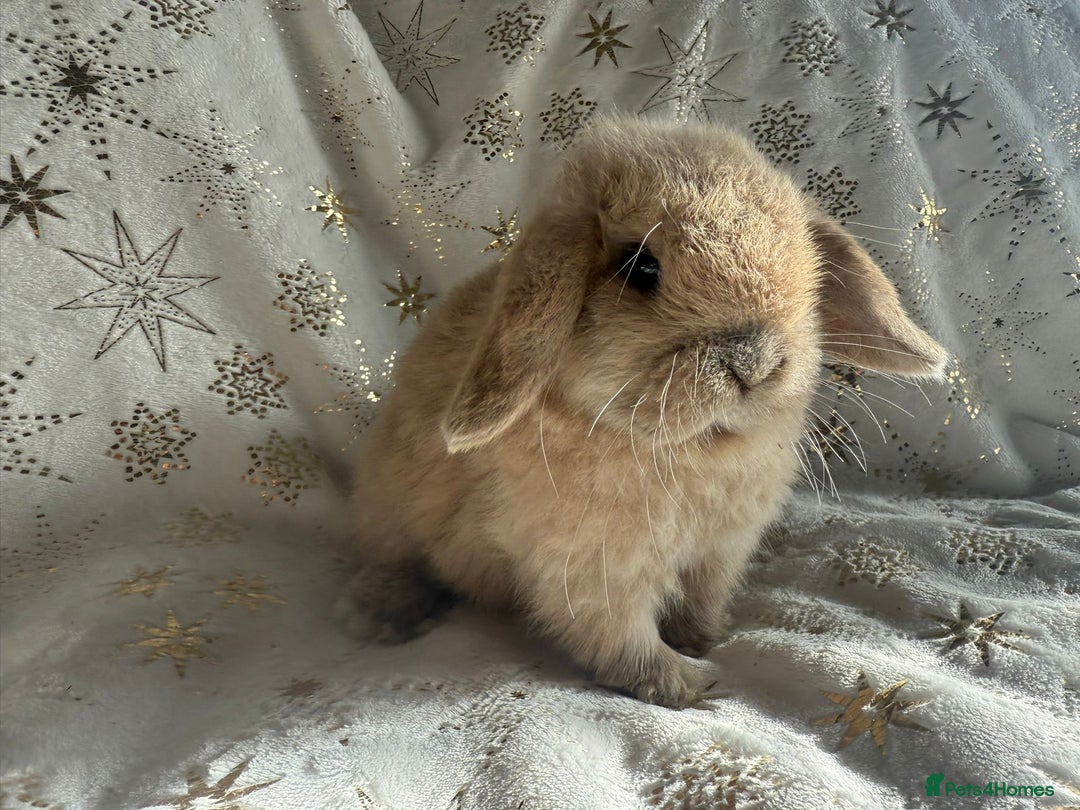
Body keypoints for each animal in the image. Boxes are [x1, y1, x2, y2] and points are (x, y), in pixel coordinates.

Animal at [346, 117, 946, 708]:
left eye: (811, 272)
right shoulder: (593, 570)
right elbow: (619, 636)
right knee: (388, 562)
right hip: (388, 513)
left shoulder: (718, 553)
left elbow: (699, 601)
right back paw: (386, 619)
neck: (685, 449)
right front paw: (684, 684)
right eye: (640, 267)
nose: (753, 364)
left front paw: (703, 639)